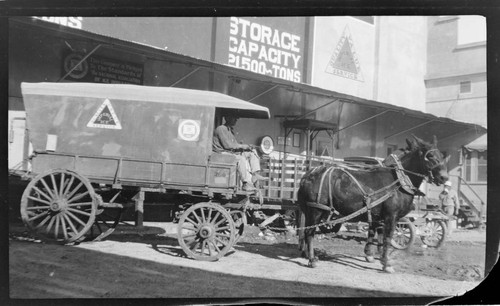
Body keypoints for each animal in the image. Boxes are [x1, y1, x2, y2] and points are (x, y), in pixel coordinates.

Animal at [296, 136, 450, 272]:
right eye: (430, 156)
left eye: (442, 156)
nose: (444, 177)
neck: (399, 182)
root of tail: (307, 176)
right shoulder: (391, 216)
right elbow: (387, 237)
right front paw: (386, 263)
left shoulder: (378, 215)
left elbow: (376, 234)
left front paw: (374, 256)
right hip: (316, 210)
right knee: (309, 232)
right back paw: (312, 259)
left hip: (309, 211)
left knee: (305, 231)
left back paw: (306, 254)